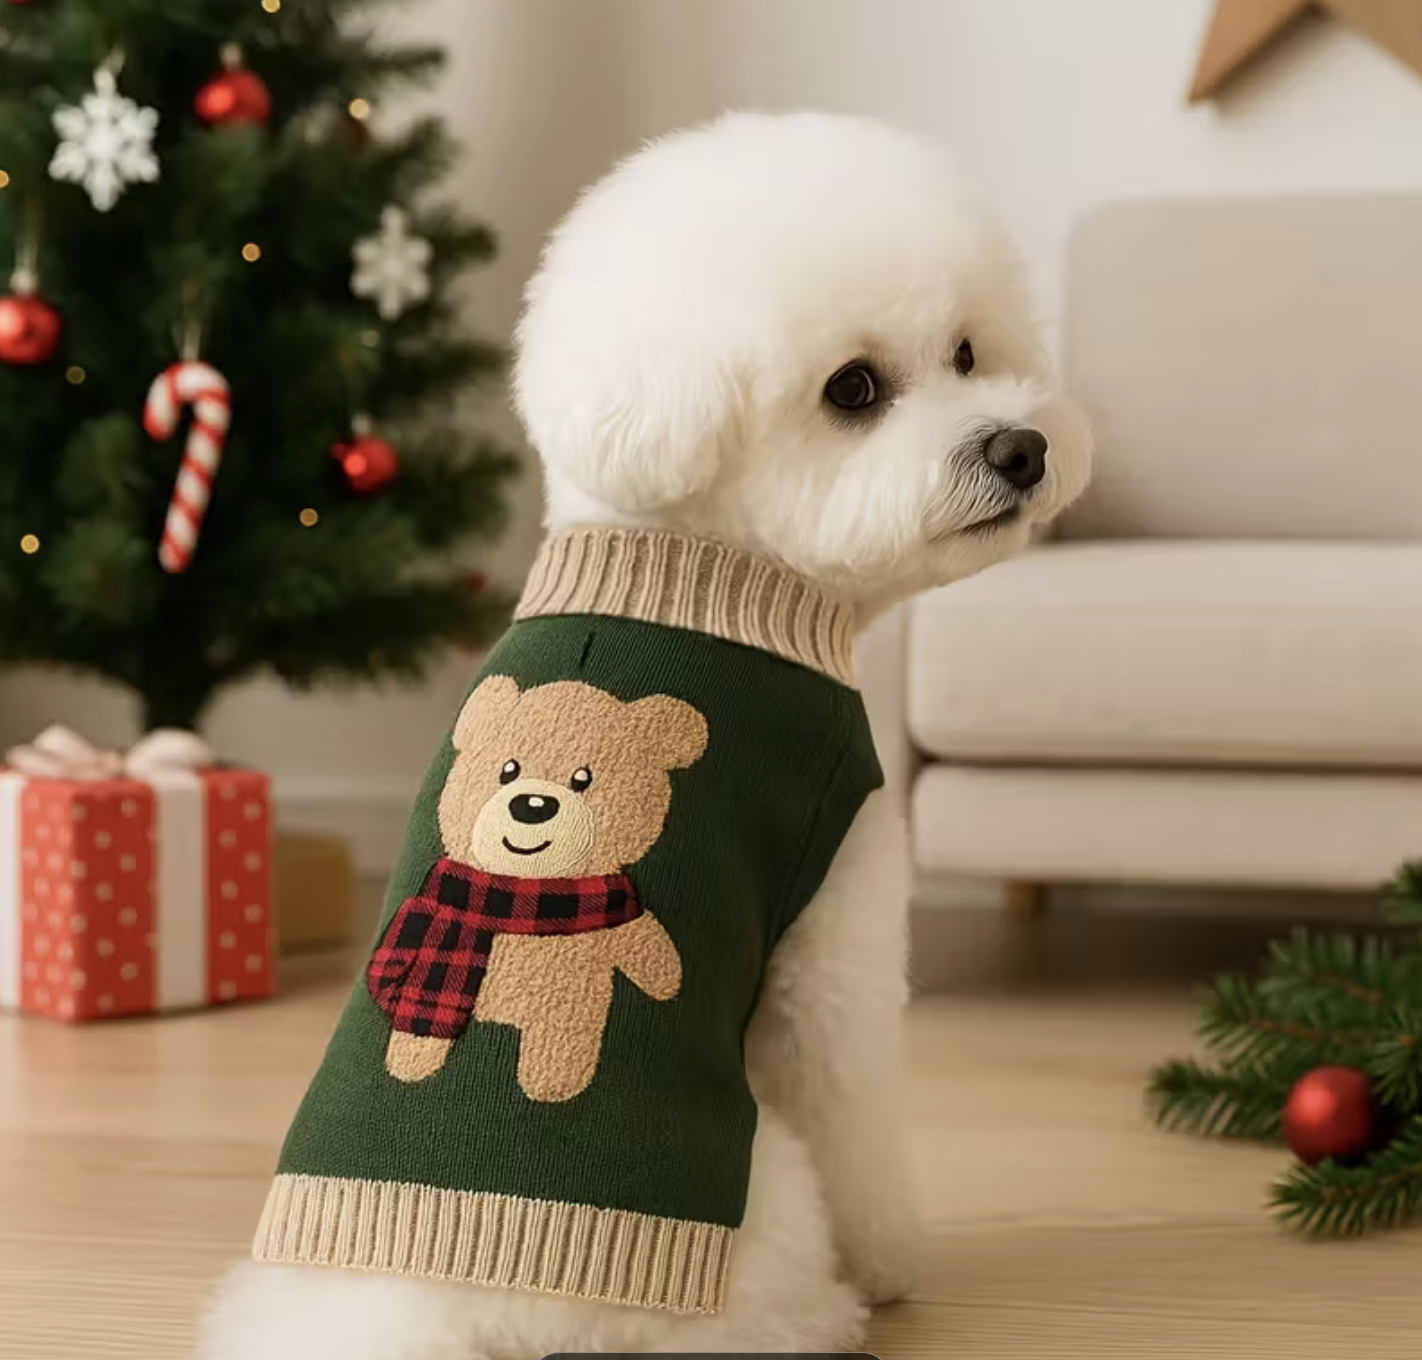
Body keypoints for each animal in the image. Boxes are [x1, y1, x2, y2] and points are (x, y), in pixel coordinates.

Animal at [368, 675, 709, 1101]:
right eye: (508, 769)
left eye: (583, 778)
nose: (532, 804)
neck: (520, 895)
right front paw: (411, 1062)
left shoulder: (589, 976)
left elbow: (647, 950)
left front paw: (666, 982)